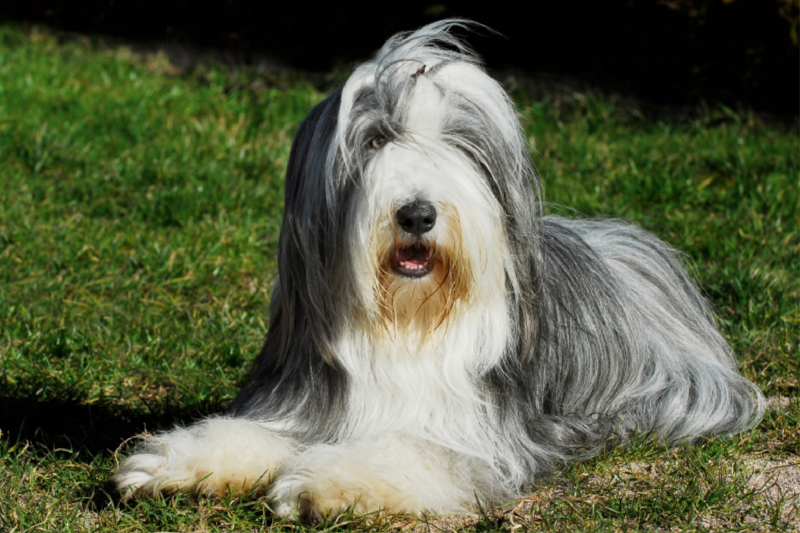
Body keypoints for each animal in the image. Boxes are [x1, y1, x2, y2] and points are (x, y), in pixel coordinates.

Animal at [115, 19, 764, 516]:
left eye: (459, 148)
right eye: (374, 143)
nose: (418, 214)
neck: (407, 323)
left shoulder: (487, 435)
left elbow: (414, 447)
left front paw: (324, 482)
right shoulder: (302, 403)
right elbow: (252, 431)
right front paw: (172, 463)